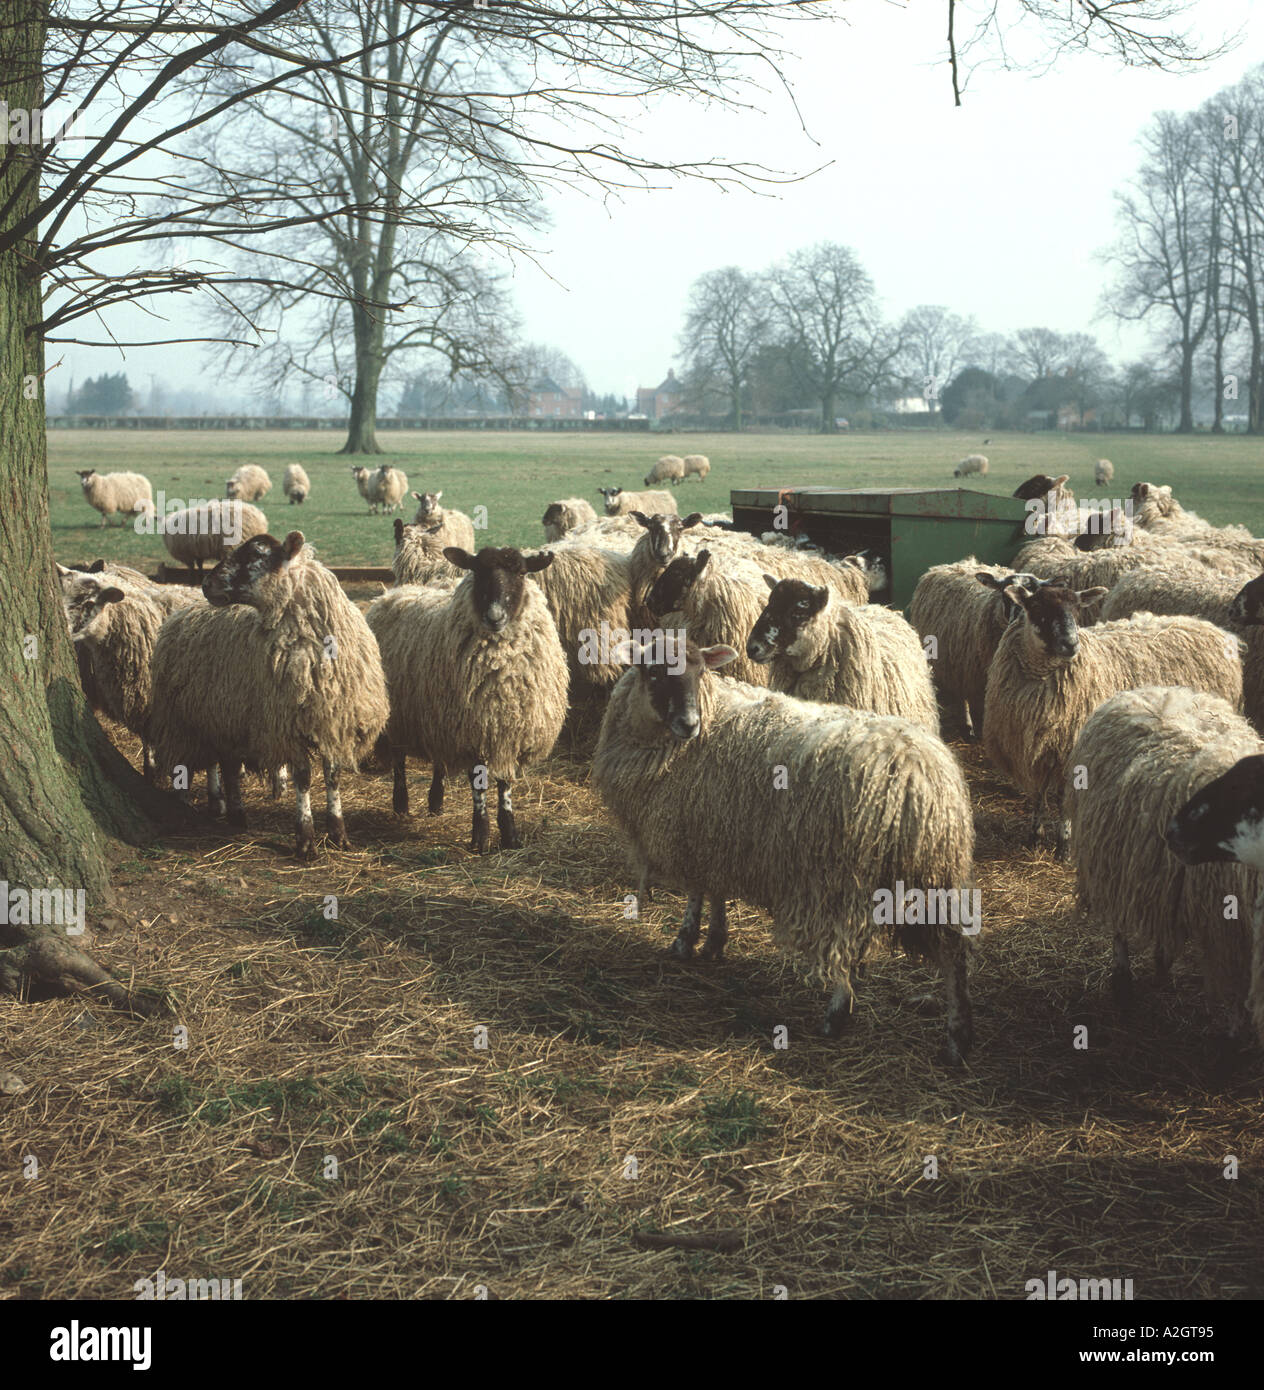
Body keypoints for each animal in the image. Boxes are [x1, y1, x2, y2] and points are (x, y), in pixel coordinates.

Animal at [150, 531, 390, 857]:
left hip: (225, 715)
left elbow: (333, 775)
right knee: (199, 762)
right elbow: (303, 777)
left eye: (255, 555)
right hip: (189, 718)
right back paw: (202, 806)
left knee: (228, 764)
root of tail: (182, 612)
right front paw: (306, 838)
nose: (207, 584)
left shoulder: (332, 721)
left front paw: (338, 832)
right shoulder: (288, 725)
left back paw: (235, 813)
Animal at [366, 546, 568, 852]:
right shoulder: (474, 731)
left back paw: (436, 801)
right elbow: (479, 783)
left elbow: (505, 782)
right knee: (399, 760)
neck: (500, 666)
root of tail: (392, 592)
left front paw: (510, 834)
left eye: (521, 572)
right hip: (400, 716)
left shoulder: (507, 730)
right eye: (477, 571)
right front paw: (480, 836)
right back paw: (401, 804)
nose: (495, 617)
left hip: (438, 718)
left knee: (438, 760)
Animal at [591, 641, 977, 1062]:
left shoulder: (691, 832)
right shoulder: (716, 833)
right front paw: (714, 942)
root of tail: (920, 777)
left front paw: (684, 941)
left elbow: (695, 892)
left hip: (847, 881)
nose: (689, 723)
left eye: (699, 672)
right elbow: (716, 890)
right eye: (654, 671)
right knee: (954, 950)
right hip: (931, 877)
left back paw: (837, 1015)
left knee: (851, 952)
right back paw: (958, 1037)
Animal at [983, 582, 1243, 857]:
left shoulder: (1070, 749)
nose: (1070, 644)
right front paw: (1035, 835)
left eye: (1077, 610)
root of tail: (1212, 627)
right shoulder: (1035, 751)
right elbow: (1038, 794)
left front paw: (1064, 845)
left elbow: (1063, 798)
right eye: (1036, 608)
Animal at [1072, 686, 1263, 1042]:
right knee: (1119, 924)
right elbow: (1235, 992)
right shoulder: (1229, 934)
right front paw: (1234, 1032)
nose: (1172, 831)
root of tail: (1155, 690)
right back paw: (1123, 981)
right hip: (1114, 862)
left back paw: (1161, 963)